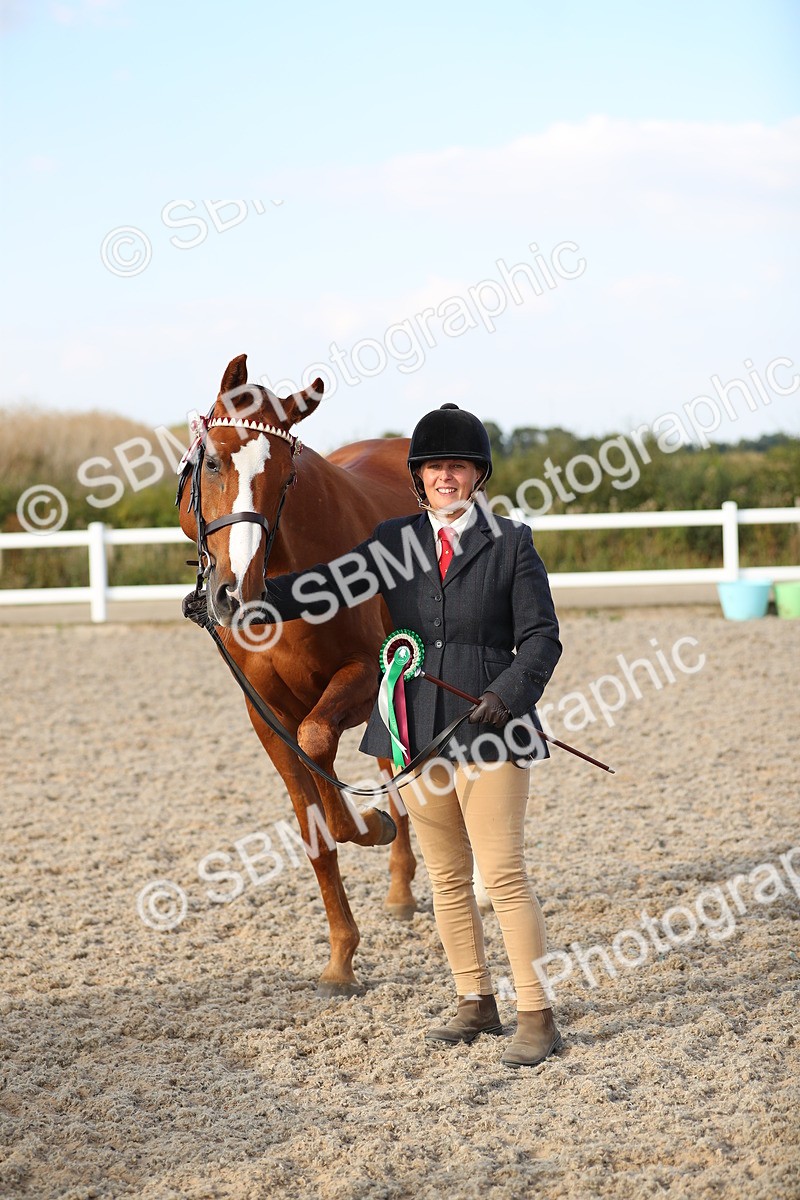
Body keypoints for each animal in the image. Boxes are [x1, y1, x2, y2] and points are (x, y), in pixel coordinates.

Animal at [179, 354, 421, 996]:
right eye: (213, 461)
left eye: (286, 476)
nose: (234, 594)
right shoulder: (266, 715)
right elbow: (314, 826)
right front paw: (341, 958)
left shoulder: (364, 674)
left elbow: (319, 749)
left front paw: (369, 826)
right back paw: (402, 886)